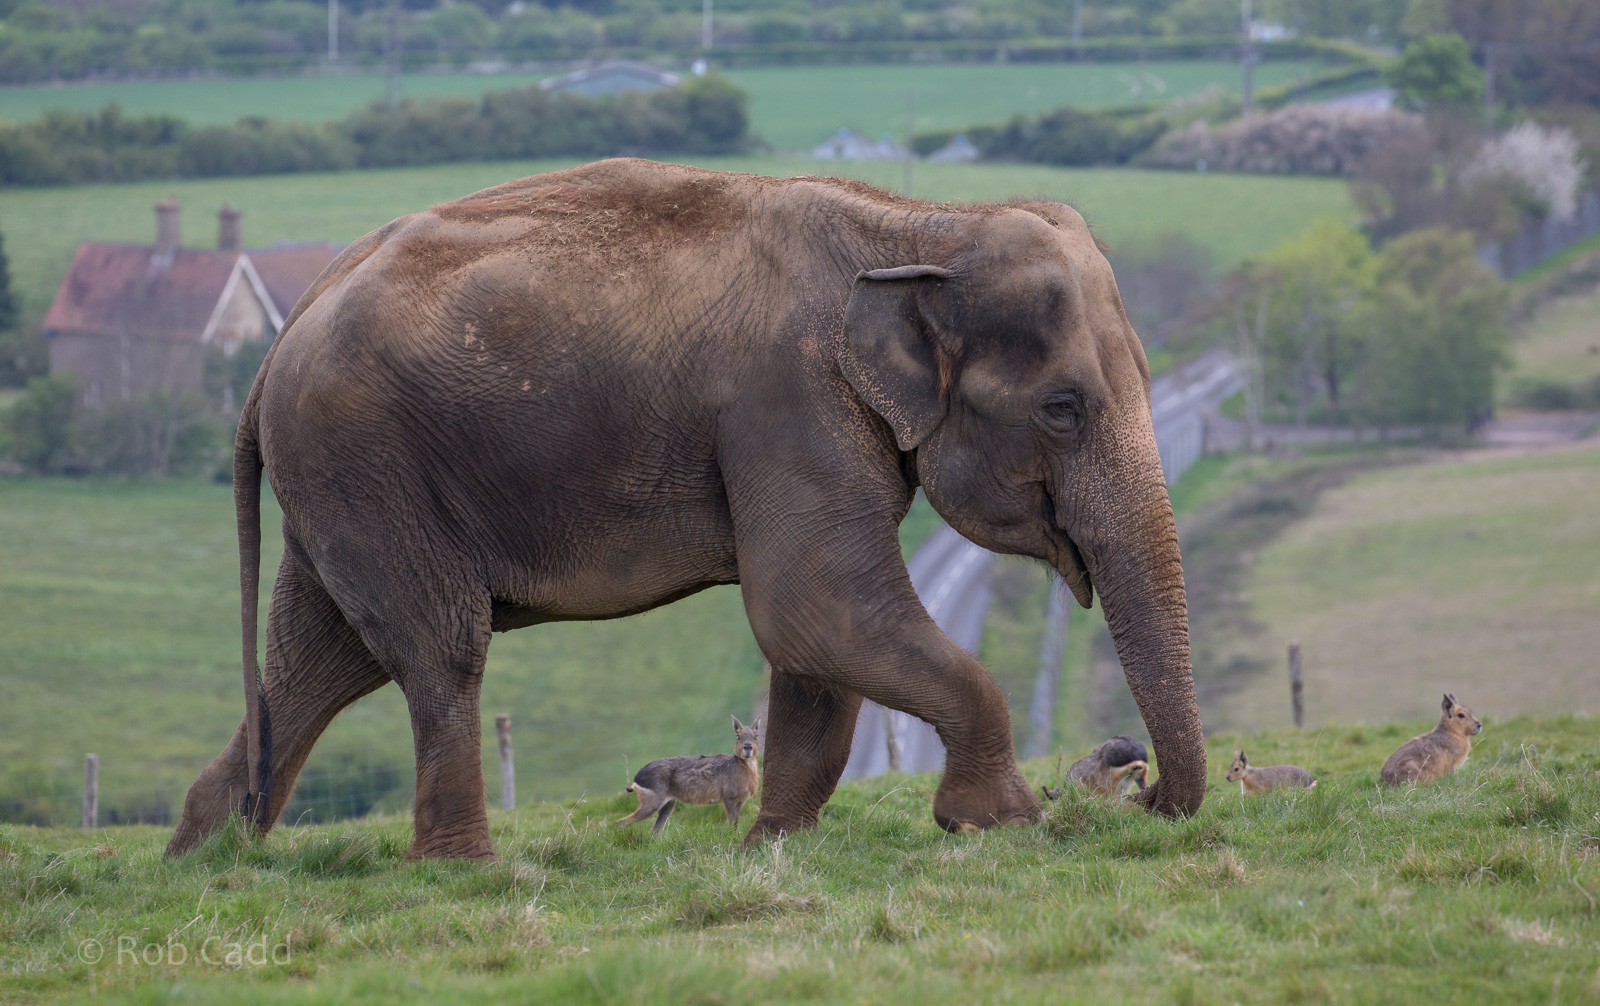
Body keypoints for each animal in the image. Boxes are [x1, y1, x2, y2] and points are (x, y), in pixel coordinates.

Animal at [165, 158, 1205, 861]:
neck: (919, 228)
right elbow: (815, 604)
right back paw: (466, 871)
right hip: (366, 462)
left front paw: (774, 847)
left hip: (343, 484)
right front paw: (996, 822)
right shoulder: (786, 400)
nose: (1143, 792)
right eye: (1063, 409)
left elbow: (813, 638)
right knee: (438, 649)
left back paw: (211, 856)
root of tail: (282, 334)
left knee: (320, 661)